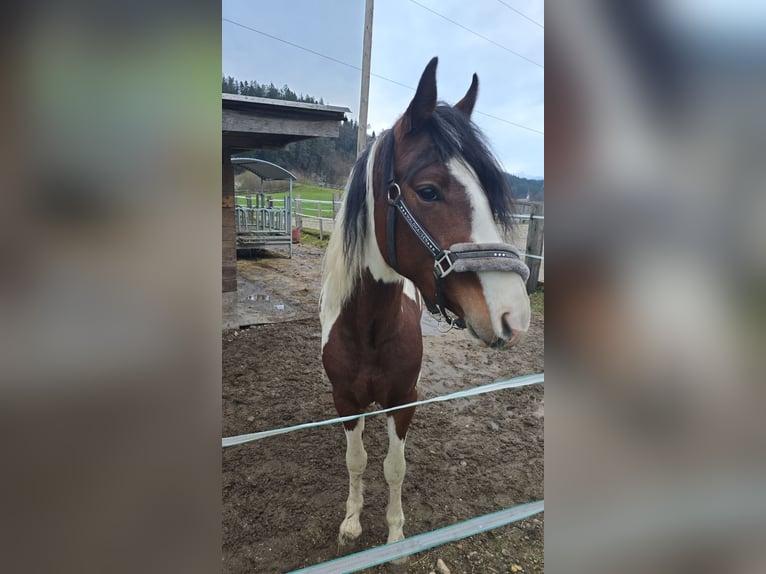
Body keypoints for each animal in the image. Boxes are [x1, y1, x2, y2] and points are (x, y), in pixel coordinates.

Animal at [319, 57, 531, 554]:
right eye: (429, 190)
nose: (514, 314)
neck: (368, 327)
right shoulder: (345, 401)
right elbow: (356, 461)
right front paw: (352, 521)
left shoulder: (404, 401)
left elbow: (394, 467)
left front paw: (395, 534)